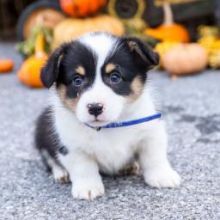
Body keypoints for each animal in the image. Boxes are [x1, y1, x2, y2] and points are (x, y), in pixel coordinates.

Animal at [35, 32, 180, 199]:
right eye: (77, 80)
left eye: (115, 77)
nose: (95, 108)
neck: (109, 126)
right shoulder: (71, 146)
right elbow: (83, 167)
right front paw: (88, 188)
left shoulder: (151, 133)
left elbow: (155, 157)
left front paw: (163, 176)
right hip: (42, 133)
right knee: (50, 160)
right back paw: (61, 173)